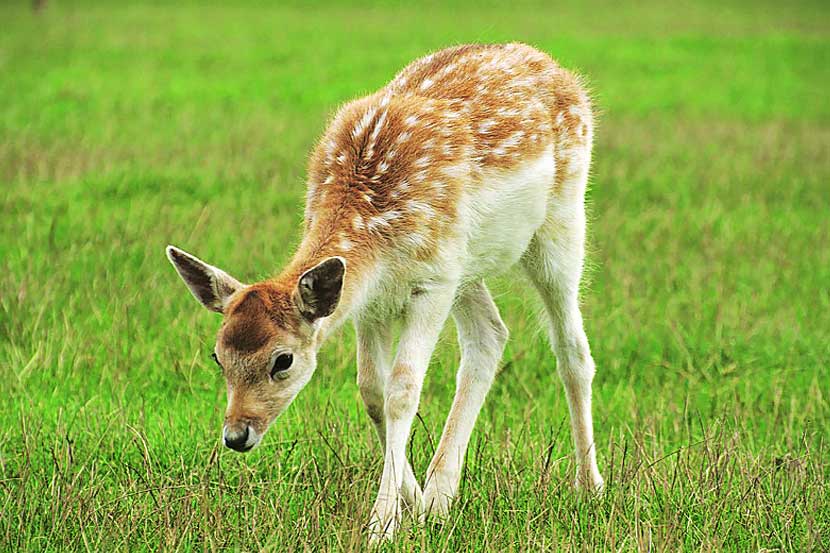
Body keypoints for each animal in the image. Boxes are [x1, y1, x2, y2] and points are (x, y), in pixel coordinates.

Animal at [167, 42, 604, 540]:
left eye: (283, 361)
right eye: (218, 356)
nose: (236, 435)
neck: (375, 230)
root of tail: (557, 68)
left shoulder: (431, 284)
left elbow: (403, 390)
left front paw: (381, 523)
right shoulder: (367, 300)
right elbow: (372, 391)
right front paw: (410, 503)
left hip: (559, 224)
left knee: (572, 349)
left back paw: (589, 486)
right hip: (466, 265)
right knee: (491, 335)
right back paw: (440, 498)